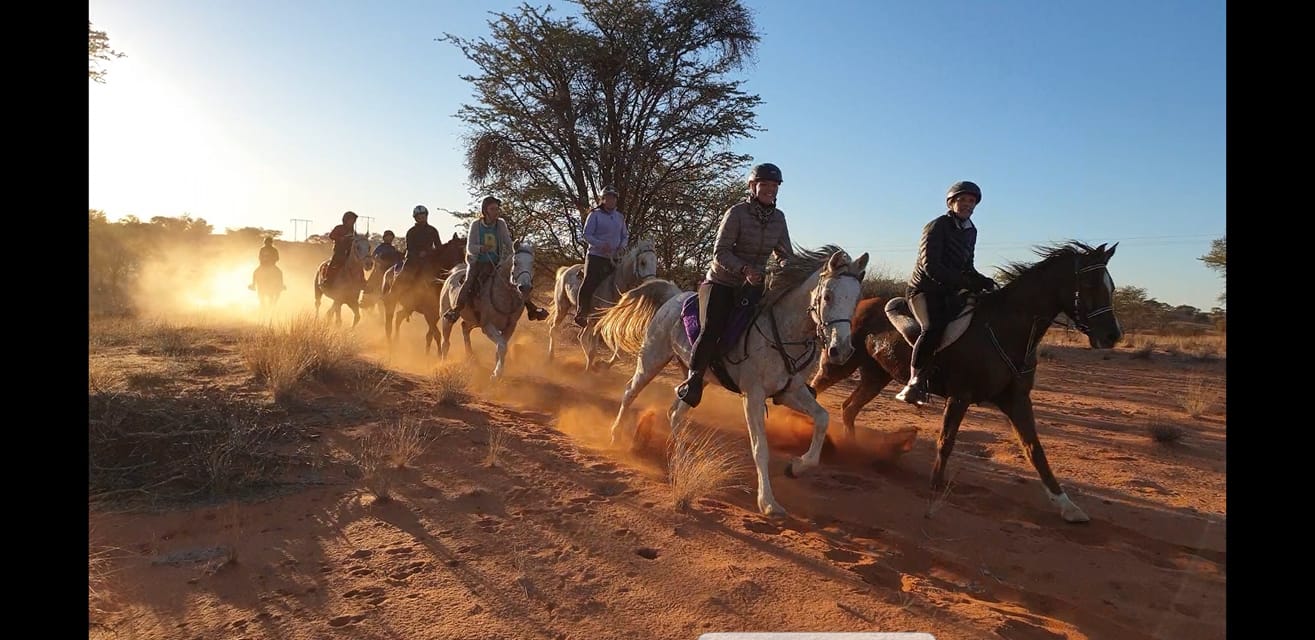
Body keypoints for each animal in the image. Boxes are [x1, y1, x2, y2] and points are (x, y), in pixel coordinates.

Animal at [439, 243, 536, 378]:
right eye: (515, 262)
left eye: (532, 263)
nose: (525, 287)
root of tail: (453, 274)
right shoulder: (488, 326)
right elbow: (502, 346)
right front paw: (496, 374)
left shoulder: (510, 326)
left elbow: (501, 347)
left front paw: (498, 369)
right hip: (446, 317)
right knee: (445, 343)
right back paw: (443, 365)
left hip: (473, 321)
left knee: (464, 328)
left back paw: (471, 358)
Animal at [549, 239, 662, 370]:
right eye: (643, 262)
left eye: (655, 262)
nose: (652, 282)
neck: (614, 285)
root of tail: (566, 271)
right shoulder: (599, 320)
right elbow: (594, 350)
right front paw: (588, 370)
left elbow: (618, 351)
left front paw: (604, 365)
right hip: (563, 307)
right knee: (554, 330)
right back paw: (551, 357)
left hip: (588, 319)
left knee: (581, 337)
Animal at [599, 243, 867, 517]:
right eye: (828, 296)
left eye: (856, 299)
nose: (841, 350)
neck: (782, 330)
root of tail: (674, 296)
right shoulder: (753, 396)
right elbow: (760, 449)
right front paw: (768, 502)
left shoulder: (791, 392)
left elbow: (822, 418)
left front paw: (796, 467)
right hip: (652, 360)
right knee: (630, 392)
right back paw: (616, 434)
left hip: (697, 378)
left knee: (675, 411)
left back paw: (682, 455)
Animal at [804, 243, 1125, 523]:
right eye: (1091, 285)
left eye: (1111, 287)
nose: (1112, 336)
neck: (1005, 328)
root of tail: (860, 305)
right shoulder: (959, 396)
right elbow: (946, 442)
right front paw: (934, 494)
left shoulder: (1017, 400)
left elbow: (1035, 450)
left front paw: (1067, 506)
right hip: (839, 364)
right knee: (815, 392)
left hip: (876, 377)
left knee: (849, 407)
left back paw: (853, 448)